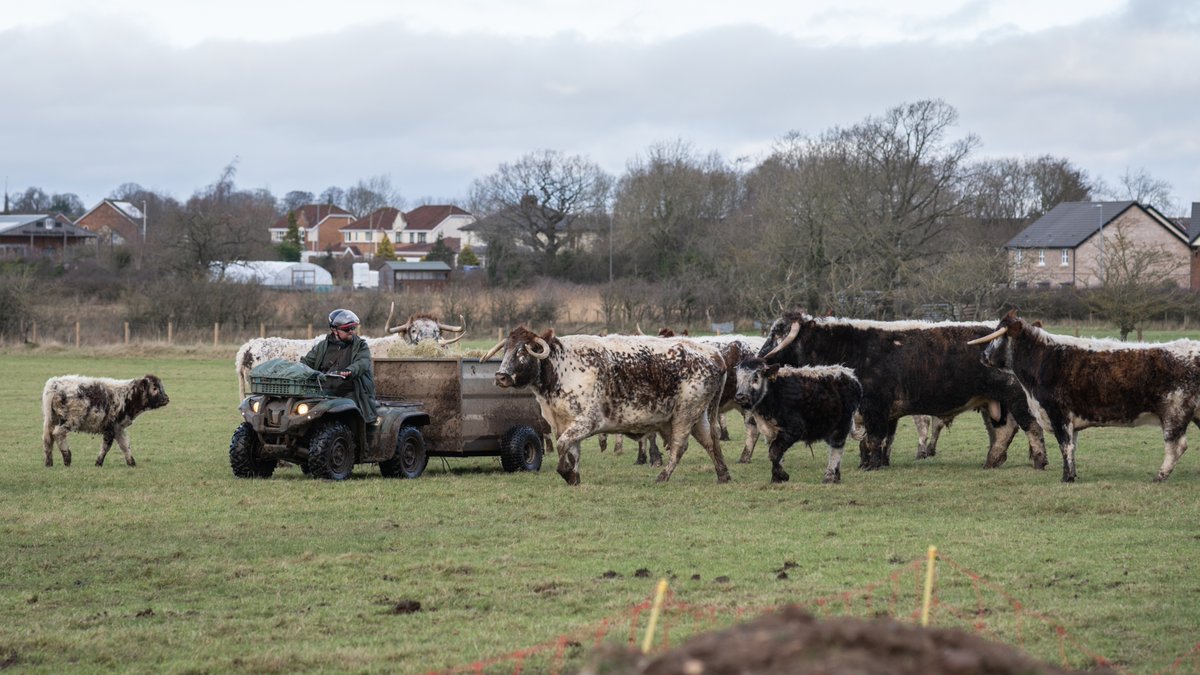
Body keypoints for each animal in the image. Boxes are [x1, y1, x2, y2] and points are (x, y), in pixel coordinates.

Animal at [41, 369, 171, 466]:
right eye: (154, 388)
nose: (166, 399)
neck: (127, 396)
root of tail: (54, 384)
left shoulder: (119, 428)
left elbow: (125, 445)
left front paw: (131, 462)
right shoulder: (111, 428)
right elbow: (107, 446)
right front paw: (98, 462)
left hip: (50, 420)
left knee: (47, 439)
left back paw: (49, 463)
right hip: (70, 420)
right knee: (58, 434)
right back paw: (67, 457)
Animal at [480, 326, 724, 482]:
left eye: (522, 351)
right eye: (506, 349)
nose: (501, 376)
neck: (562, 367)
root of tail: (712, 353)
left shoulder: (587, 421)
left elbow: (562, 445)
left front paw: (565, 471)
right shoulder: (564, 423)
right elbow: (572, 450)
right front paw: (573, 475)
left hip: (685, 415)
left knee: (679, 446)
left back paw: (663, 476)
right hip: (698, 416)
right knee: (710, 442)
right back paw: (723, 474)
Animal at [763, 309, 1046, 468]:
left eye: (776, 332)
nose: (761, 356)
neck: (851, 348)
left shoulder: (875, 407)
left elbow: (874, 439)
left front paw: (872, 466)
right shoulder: (880, 413)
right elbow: (876, 441)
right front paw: (873, 462)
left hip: (1016, 399)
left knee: (1031, 427)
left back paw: (1039, 461)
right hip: (994, 403)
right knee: (1002, 432)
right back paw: (992, 461)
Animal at [964, 307, 1200, 480]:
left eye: (998, 337)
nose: (983, 356)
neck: (1043, 359)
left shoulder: (1058, 414)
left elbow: (1065, 445)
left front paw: (1066, 477)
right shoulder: (1070, 420)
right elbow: (1072, 447)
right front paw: (1073, 474)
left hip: (1174, 414)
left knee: (1176, 446)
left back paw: (1160, 475)